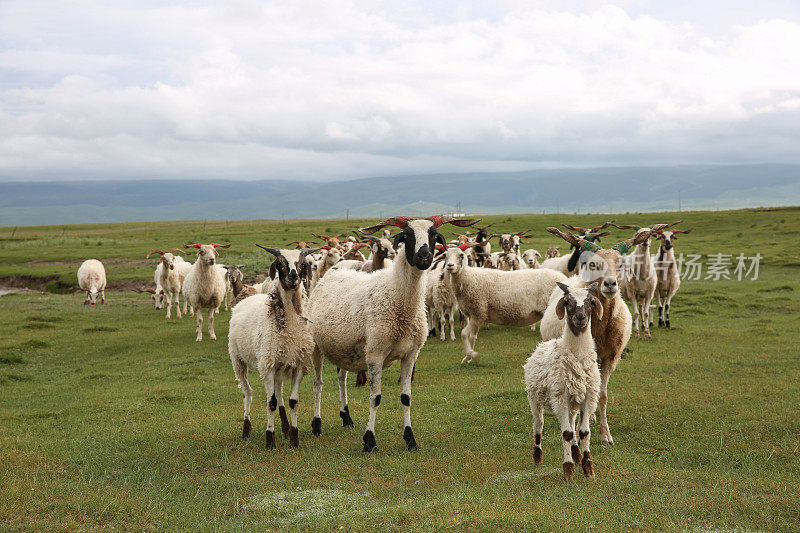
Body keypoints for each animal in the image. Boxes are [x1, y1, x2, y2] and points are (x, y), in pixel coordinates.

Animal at [227, 247, 318, 446]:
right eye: (280, 264)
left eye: (302, 264)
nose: (293, 276)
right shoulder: (267, 366)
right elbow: (271, 403)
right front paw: (270, 439)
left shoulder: (298, 365)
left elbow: (292, 401)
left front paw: (294, 438)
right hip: (238, 360)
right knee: (248, 393)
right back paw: (246, 430)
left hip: (279, 364)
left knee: (279, 394)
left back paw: (284, 428)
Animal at [308, 214, 478, 450]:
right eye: (406, 235)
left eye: (434, 235)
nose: (424, 256)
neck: (397, 298)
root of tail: (330, 275)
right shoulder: (375, 354)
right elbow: (375, 398)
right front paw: (369, 441)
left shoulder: (411, 354)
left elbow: (406, 397)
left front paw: (410, 439)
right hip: (316, 346)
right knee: (318, 384)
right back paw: (316, 425)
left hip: (343, 348)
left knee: (341, 378)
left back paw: (346, 417)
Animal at [524, 280, 600, 480]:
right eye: (567, 302)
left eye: (591, 302)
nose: (580, 317)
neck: (577, 355)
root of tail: (542, 345)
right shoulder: (560, 398)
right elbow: (566, 434)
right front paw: (568, 470)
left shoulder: (588, 396)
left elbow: (584, 432)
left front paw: (588, 469)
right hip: (534, 400)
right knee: (538, 425)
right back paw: (537, 457)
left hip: (573, 402)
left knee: (573, 425)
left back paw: (576, 453)